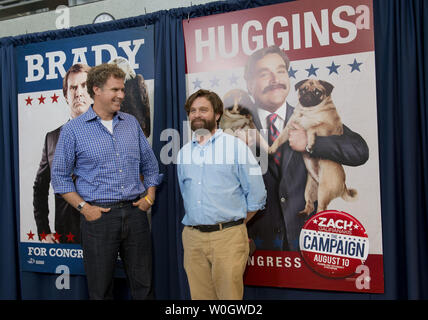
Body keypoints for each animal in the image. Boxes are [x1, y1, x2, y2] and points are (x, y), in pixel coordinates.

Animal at [270, 79, 356, 216]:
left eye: (317, 92)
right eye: (303, 90)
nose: (308, 95)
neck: (307, 111)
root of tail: (344, 186)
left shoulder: (326, 127)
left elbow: (311, 128)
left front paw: (309, 143)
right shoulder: (289, 128)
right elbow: (279, 138)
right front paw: (271, 148)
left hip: (324, 191)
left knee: (321, 207)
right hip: (309, 189)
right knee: (310, 204)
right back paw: (304, 213)